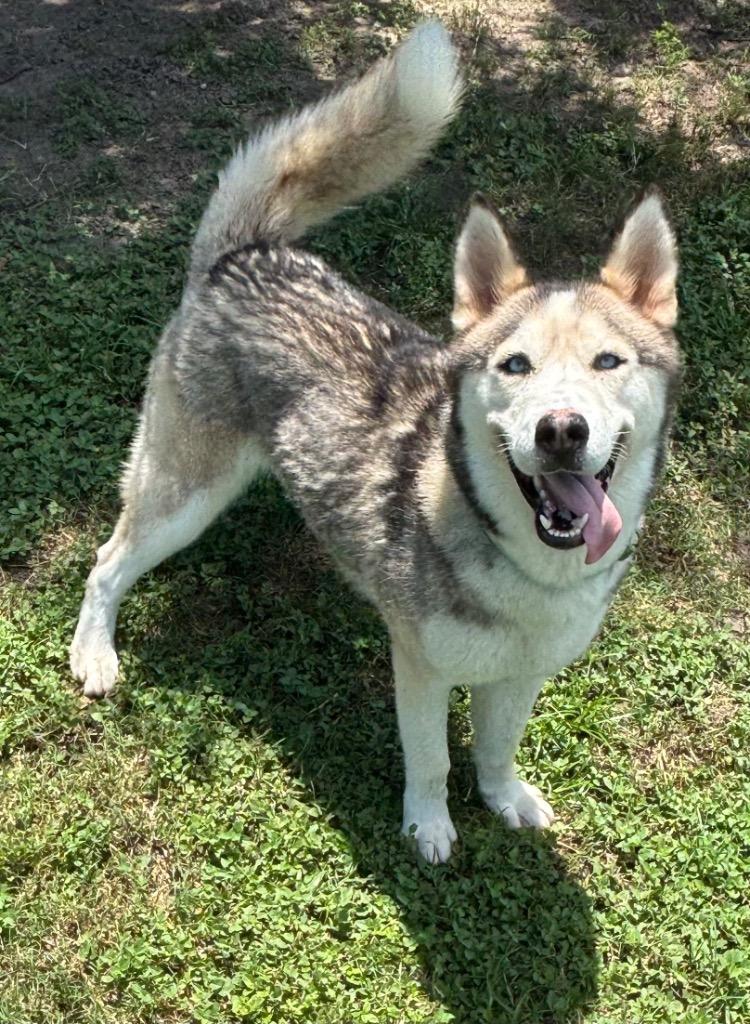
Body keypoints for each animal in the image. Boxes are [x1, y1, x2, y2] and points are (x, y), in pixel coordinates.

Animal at [70, 22, 682, 863]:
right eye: (515, 365)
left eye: (608, 362)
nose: (561, 430)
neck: (529, 567)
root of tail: (244, 255)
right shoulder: (420, 665)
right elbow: (430, 760)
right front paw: (429, 828)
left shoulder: (521, 676)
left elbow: (497, 748)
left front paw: (503, 798)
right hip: (184, 492)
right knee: (107, 561)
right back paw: (93, 652)